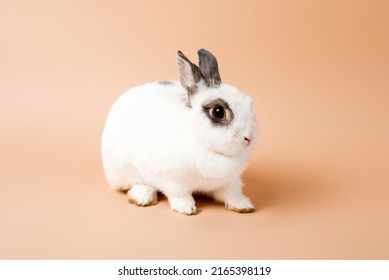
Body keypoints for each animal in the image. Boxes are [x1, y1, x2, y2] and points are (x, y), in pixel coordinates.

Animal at [100, 49, 258, 214]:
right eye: (218, 112)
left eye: (249, 102)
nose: (249, 138)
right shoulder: (173, 181)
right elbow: (180, 195)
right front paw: (187, 208)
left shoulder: (230, 180)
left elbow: (232, 193)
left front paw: (243, 206)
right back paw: (143, 197)